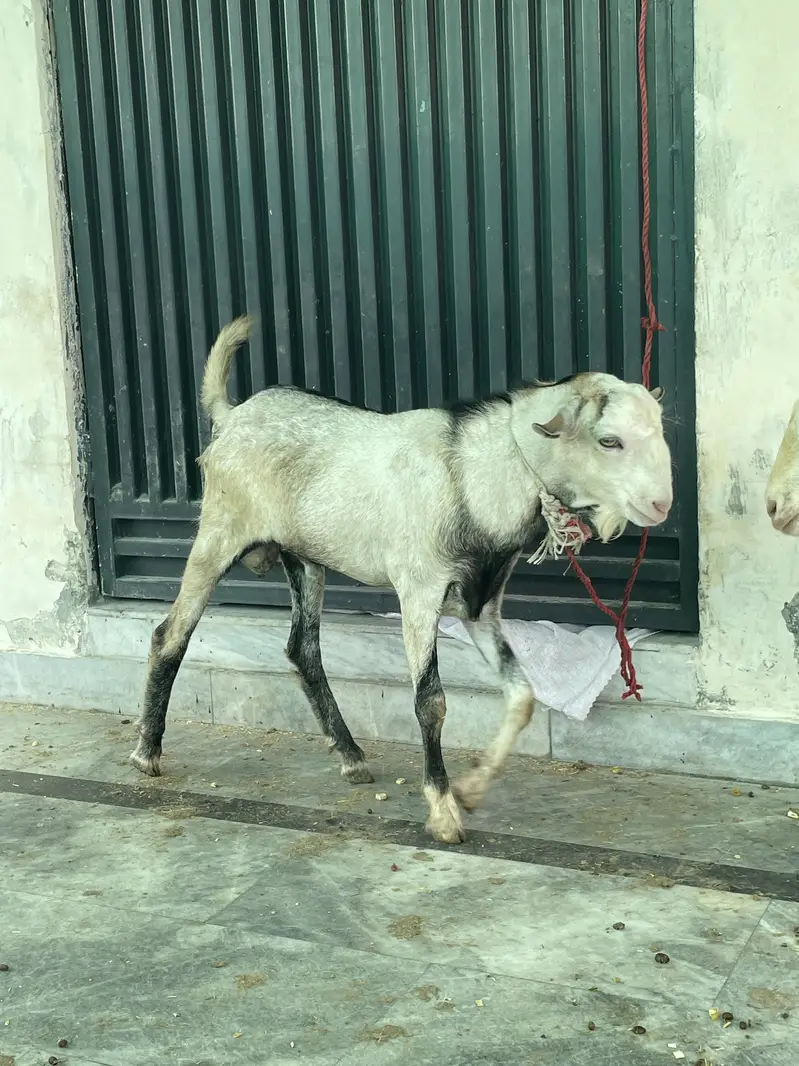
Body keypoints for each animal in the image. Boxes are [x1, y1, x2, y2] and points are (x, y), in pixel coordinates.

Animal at [131, 317, 673, 843]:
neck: (473, 475)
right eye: (609, 440)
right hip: (218, 533)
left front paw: (471, 790)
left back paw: (351, 757)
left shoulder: (482, 605)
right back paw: (146, 752)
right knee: (170, 634)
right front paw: (443, 810)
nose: (660, 504)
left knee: (302, 648)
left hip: (304, 560)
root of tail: (232, 415)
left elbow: (521, 697)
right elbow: (430, 702)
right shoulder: (419, 591)